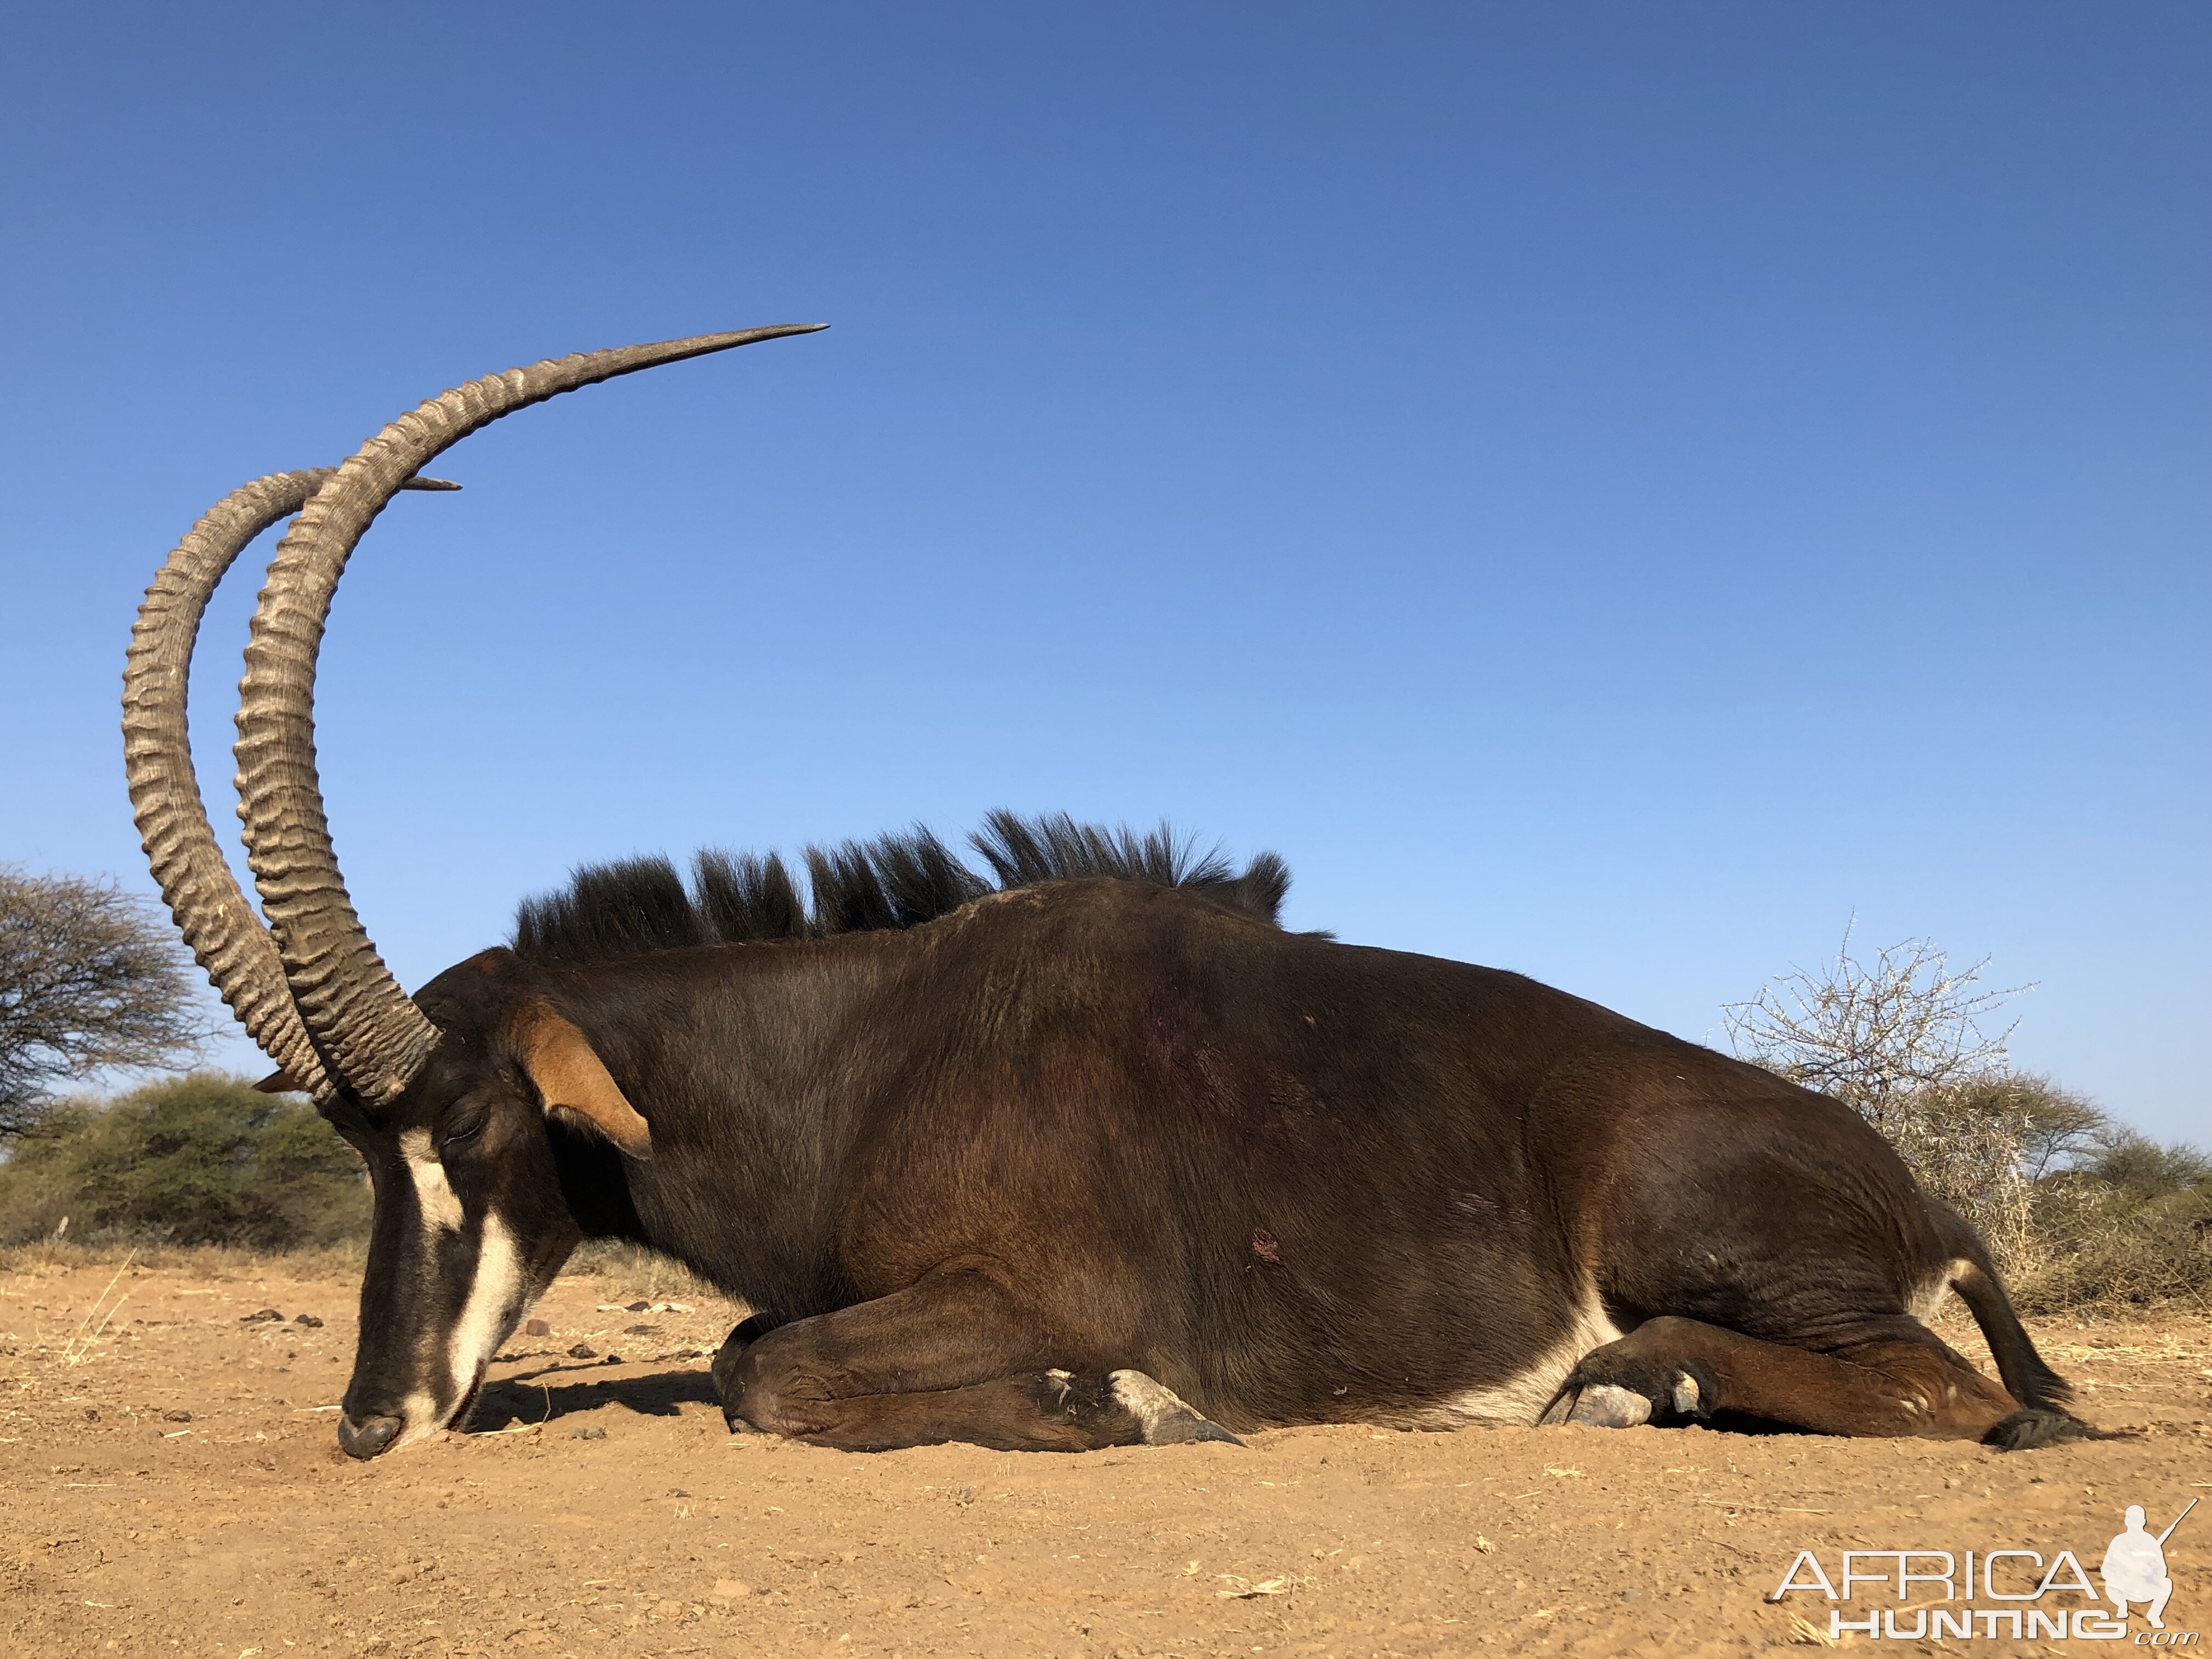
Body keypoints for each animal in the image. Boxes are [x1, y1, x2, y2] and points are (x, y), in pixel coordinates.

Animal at [125, 331, 2088, 1460]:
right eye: (355, 1153)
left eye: (469, 1130)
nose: (371, 1425)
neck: (862, 1056)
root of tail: (1923, 1191)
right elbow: (752, 1347)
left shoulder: (1035, 1289)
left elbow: (769, 1374)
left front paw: (1126, 1405)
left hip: (1699, 1231)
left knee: (1950, 1399)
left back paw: (1625, 1385)